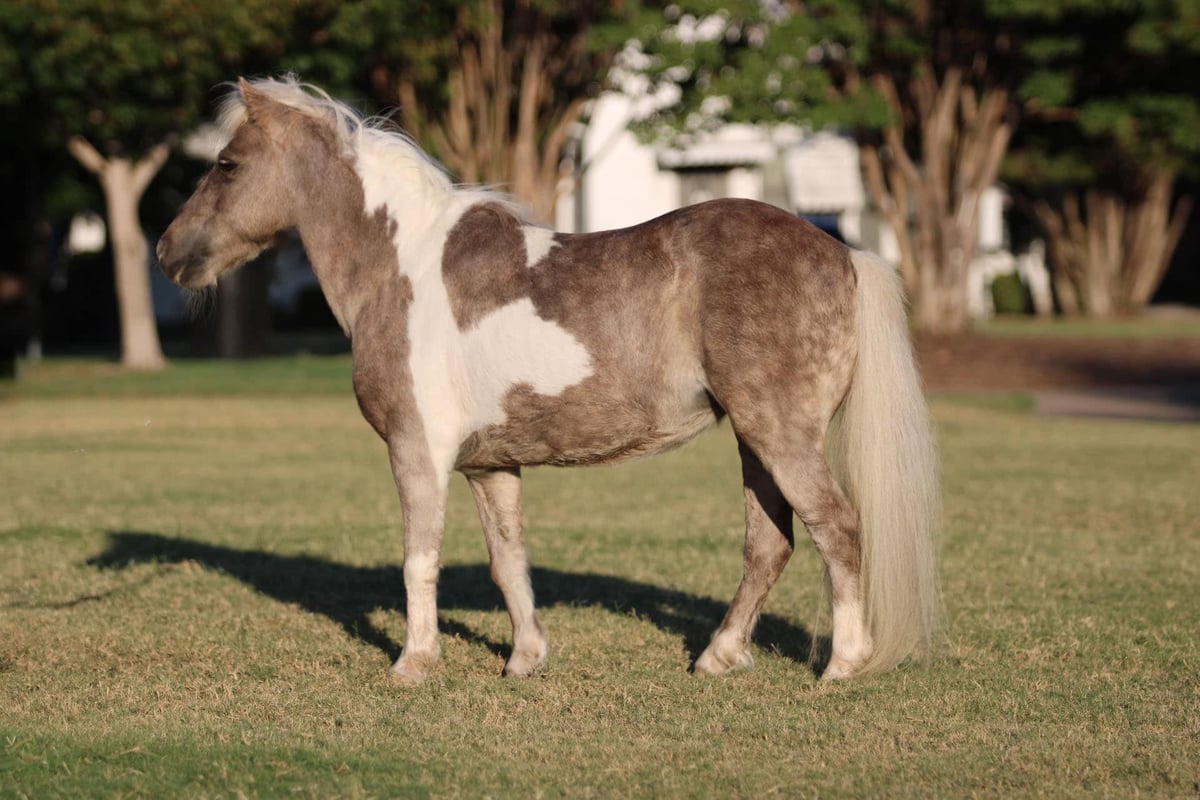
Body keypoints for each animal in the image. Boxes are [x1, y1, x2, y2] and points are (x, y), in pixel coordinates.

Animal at [157, 76, 942, 683]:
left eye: (226, 164)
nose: (168, 250)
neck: (401, 267)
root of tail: (841, 251)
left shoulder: (416, 451)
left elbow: (419, 559)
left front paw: (414, 663)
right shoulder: (489, 466)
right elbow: (509, 562)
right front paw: (525, 659)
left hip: (780, 434)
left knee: (835, 527)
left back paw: (842, 664)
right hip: (756, 441)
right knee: (769, 544)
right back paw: (718, 657)